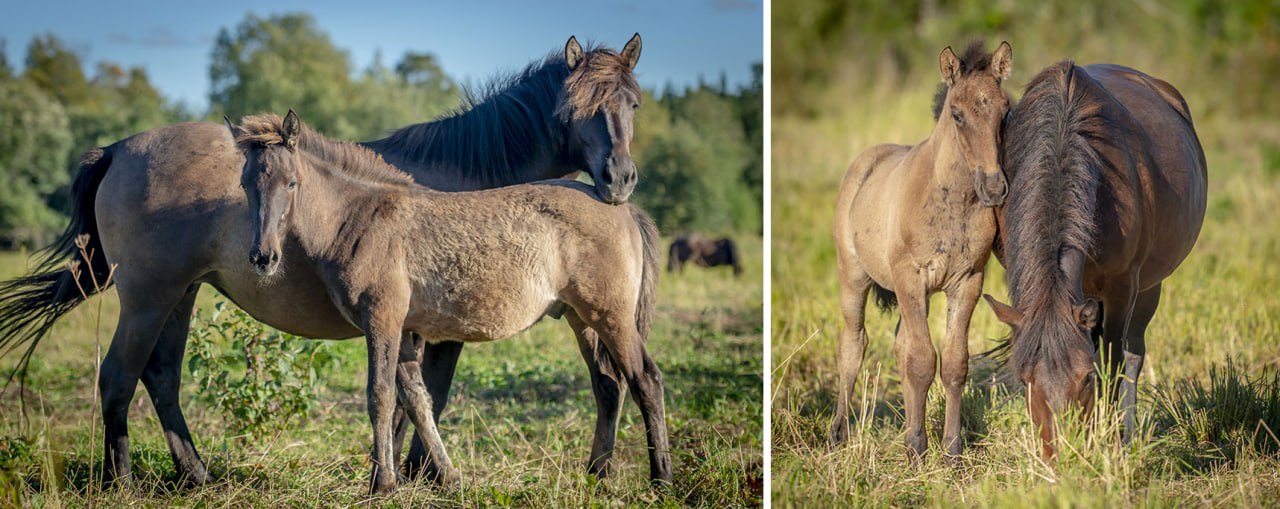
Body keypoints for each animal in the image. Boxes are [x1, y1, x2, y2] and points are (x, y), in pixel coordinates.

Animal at [0, 33, 645, 485]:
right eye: (575, 108)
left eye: (632, 103)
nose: (619, 180)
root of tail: (117, 149)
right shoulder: (434, 330)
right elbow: (422, 398)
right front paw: (415, 473)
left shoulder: (413, 326)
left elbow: (413, 397)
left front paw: (410, 471)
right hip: (146, 297)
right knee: (117, 379)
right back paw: (124, 482)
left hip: (178, 295)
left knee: (160, 378)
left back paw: (197, 476)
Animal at [829, 40, 1008, 457]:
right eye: (957, 115)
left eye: (1005, 111)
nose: (994, 187)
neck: (952, 201)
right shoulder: (910, 276)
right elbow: (924, 360)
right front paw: (917, 449)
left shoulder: (967, 281)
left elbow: (954, 363)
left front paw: (950, 448)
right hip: (855, 277)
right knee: (853, 344)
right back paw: (839, 432)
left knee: (900, 347)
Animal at [983, 61, 1203, 460]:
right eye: (1025, 379)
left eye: (1085, 378)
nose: (1062, 456)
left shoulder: (1122, 287)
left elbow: (1113, 364)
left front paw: (1111, 443)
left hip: (1149, 287)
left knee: (1133, 353)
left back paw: (1127, 435)